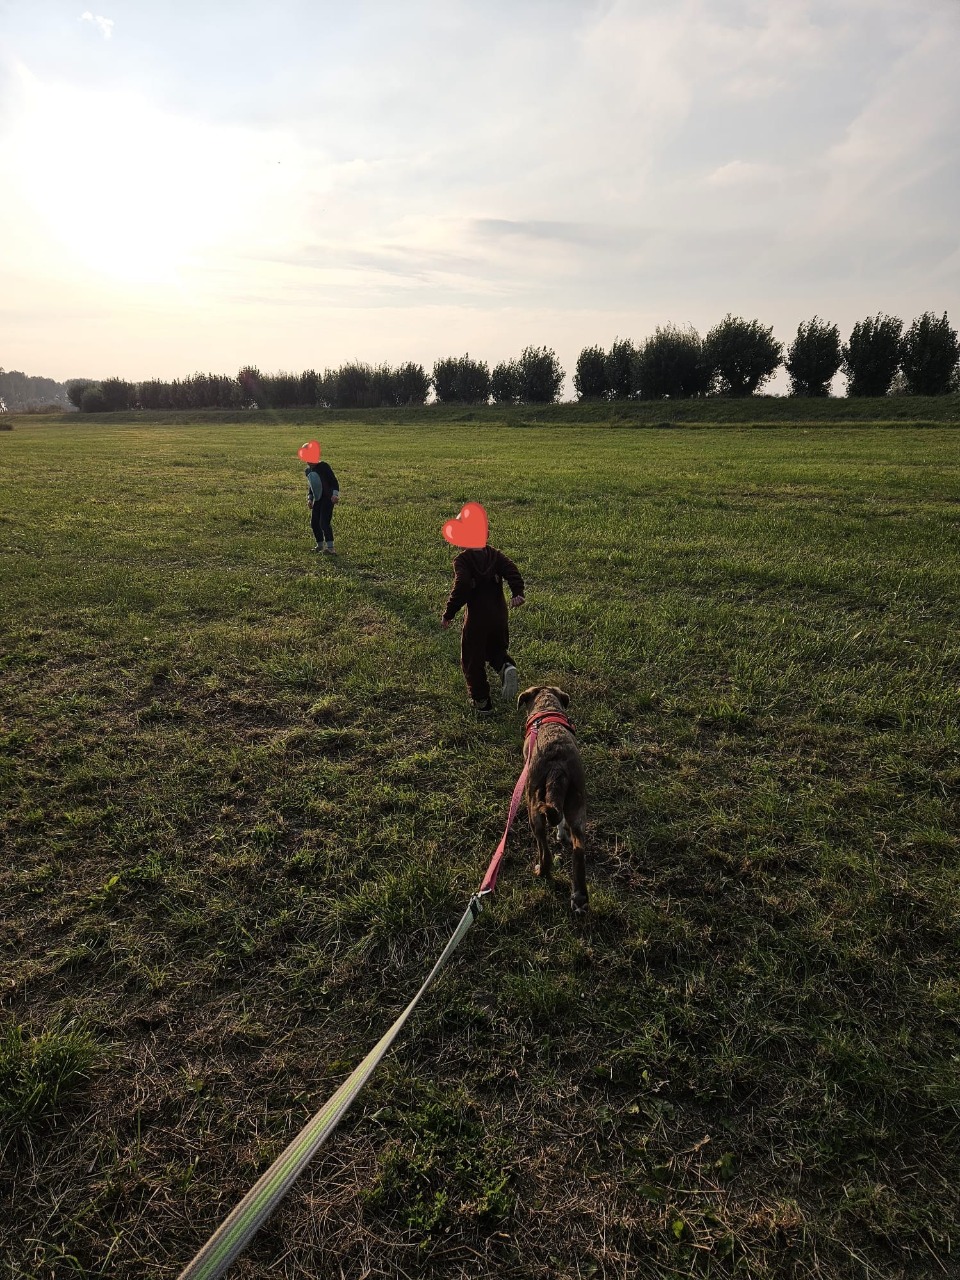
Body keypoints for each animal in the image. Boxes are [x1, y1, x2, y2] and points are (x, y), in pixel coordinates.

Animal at [517, 686, 588, 915]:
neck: (546, 709)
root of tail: (558, 765)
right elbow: (561, 821)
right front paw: (561, 834)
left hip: (534, 812)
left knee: (545, 853)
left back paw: (542, 872)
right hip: (577, 807)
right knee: (578, 850)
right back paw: (579, 897)